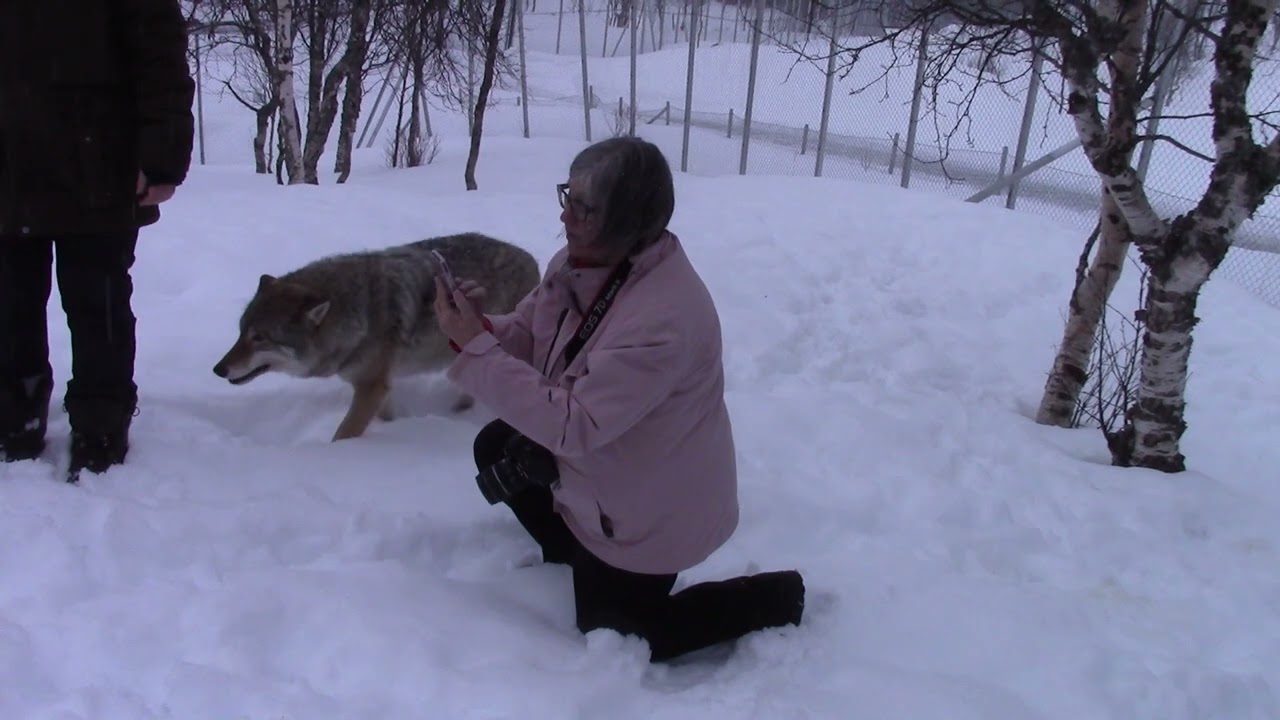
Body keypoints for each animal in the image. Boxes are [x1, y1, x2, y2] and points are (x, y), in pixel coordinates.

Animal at [212, 232, 541, 441]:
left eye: (260, 338)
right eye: (241, 332)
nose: (218, 369)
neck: (356, 313)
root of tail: (532, 259)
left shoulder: (371, 385)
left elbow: (342, 435)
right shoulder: (377, 385)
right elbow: (385, 415)